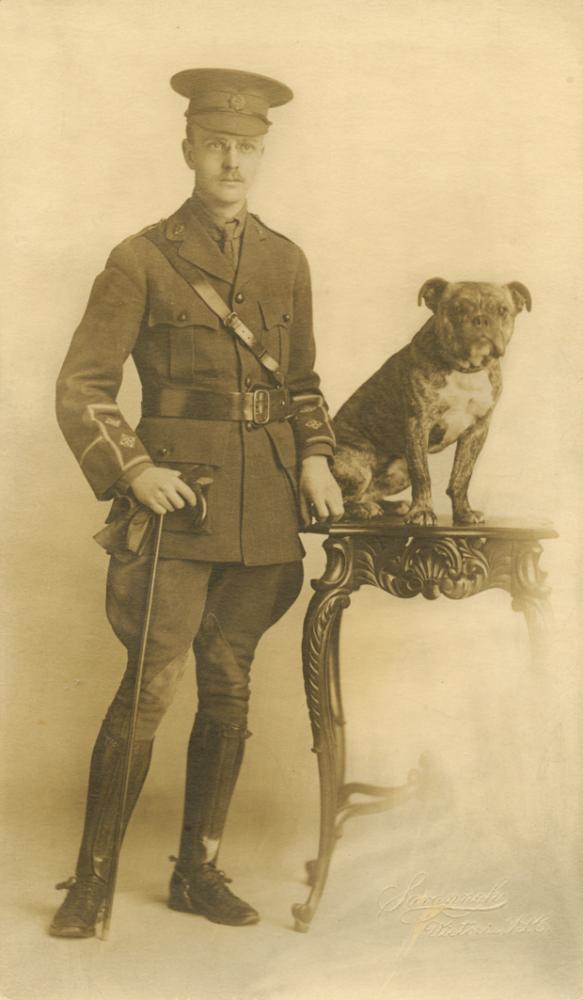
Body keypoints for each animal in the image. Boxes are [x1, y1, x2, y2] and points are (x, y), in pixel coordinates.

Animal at [330, 274, 532, 524]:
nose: (482, 319)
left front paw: (464, 512)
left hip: (400, 472)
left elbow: (461, 476)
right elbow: (422, 475)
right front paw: (423, 511)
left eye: (503, 310)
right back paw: (362, 509)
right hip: (358, 470)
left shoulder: (476, 431)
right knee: (341, 501)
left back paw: (392, 506)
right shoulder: (418, 425)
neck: (465, 369)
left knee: (369, 493)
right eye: (457, 309)